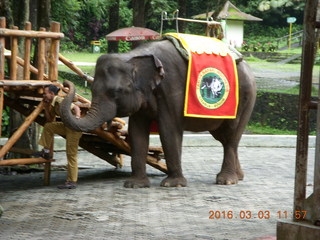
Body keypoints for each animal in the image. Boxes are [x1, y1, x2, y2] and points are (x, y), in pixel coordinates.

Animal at [59, 39, 255, 188]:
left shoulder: (172, 88)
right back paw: (239, 177)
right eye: (92, 89)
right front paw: (134, 185)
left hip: (245, 97)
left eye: (116, 92)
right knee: (223, 138)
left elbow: (168, 130)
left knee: (231, 135)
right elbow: (137, 132)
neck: (134, 57)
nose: (66, 83)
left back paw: (226, 181)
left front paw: (172, 184)